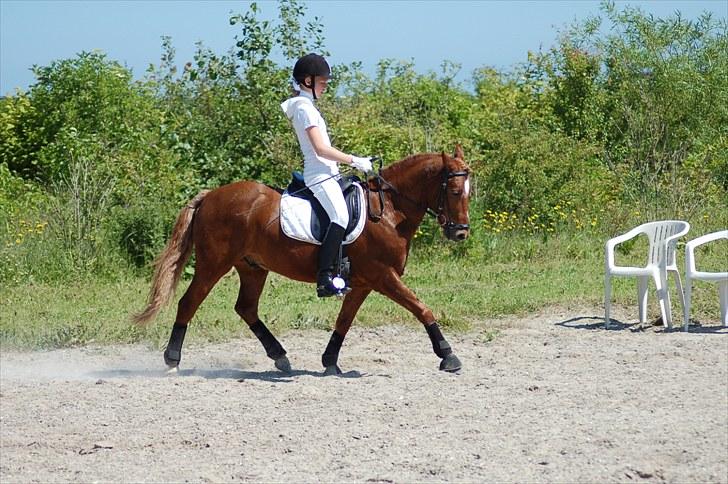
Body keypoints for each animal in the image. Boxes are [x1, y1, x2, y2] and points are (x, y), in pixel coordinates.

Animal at [133, 146, 470, 376]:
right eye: (454, 190)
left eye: (469, 190)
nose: (461, 232)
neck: (389, 212)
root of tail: (210, 195)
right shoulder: (383, 275)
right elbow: (421, 308)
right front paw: (448, 355)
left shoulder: (363, 283)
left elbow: (344, 321)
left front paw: (330, 362)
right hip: (214, 264)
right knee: (189, 303)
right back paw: (172, 360)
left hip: (252, 267)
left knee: (246, 308)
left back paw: (280, 356)